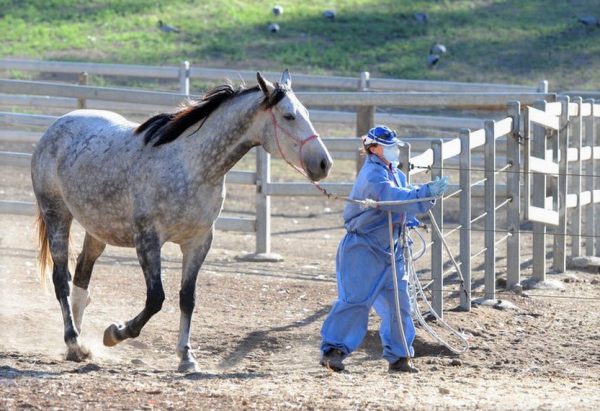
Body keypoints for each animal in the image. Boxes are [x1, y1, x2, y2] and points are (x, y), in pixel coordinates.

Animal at [31, 71, 332, 374]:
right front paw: (115, 332)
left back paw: (79, 344)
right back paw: (73, 342)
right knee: (62, 279)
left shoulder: (198, 242)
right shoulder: (148, 240)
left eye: (305, 112)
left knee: (82, 275)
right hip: (57, 214)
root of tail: (56, 126)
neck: (193, 166)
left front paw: (186, 357)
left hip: (98, 230)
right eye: (288, 116)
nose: (323, 163)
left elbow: (187, 298)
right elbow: (155, 298)